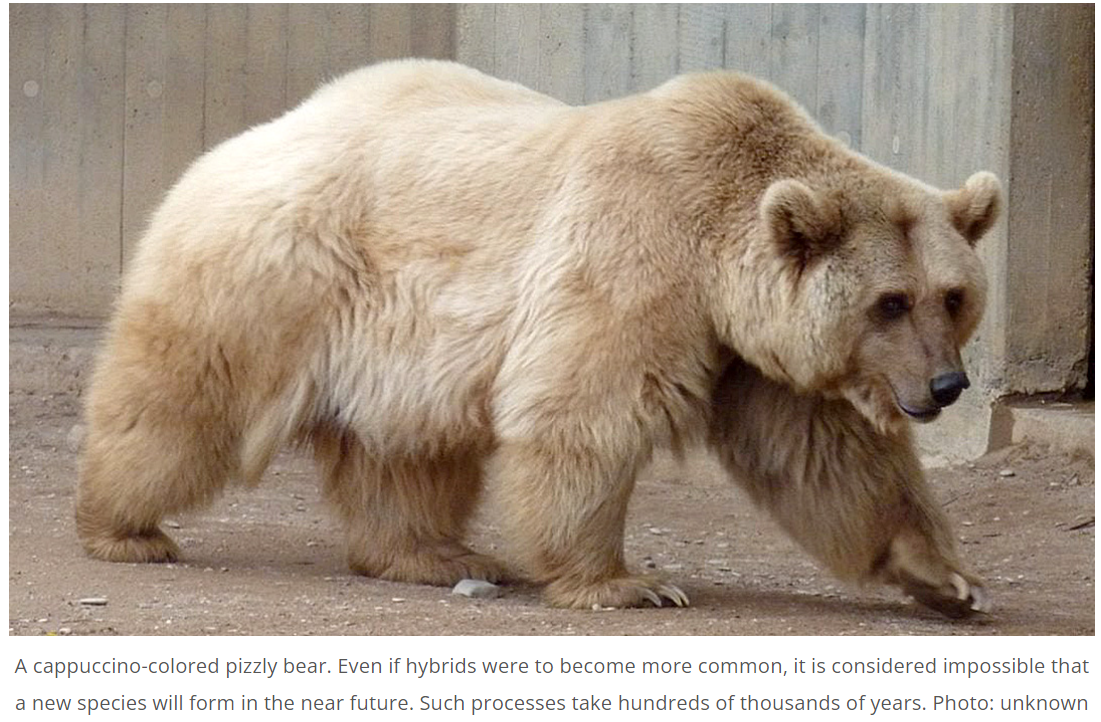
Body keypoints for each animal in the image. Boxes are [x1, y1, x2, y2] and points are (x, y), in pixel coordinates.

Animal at [75, 59, 1000, 615]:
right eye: (889, 302)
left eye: (951, 296)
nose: (945, 386)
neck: (718, 251)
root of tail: (235, 142)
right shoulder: (637, 255)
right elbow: (586, 411)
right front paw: (629, 582)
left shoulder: (749, 350)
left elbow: (825, 455)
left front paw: (946, 577)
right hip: (277, 276)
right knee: (182, 402)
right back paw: (123, 527)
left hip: (398, 345)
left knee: (406, 453)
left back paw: (435, 553)